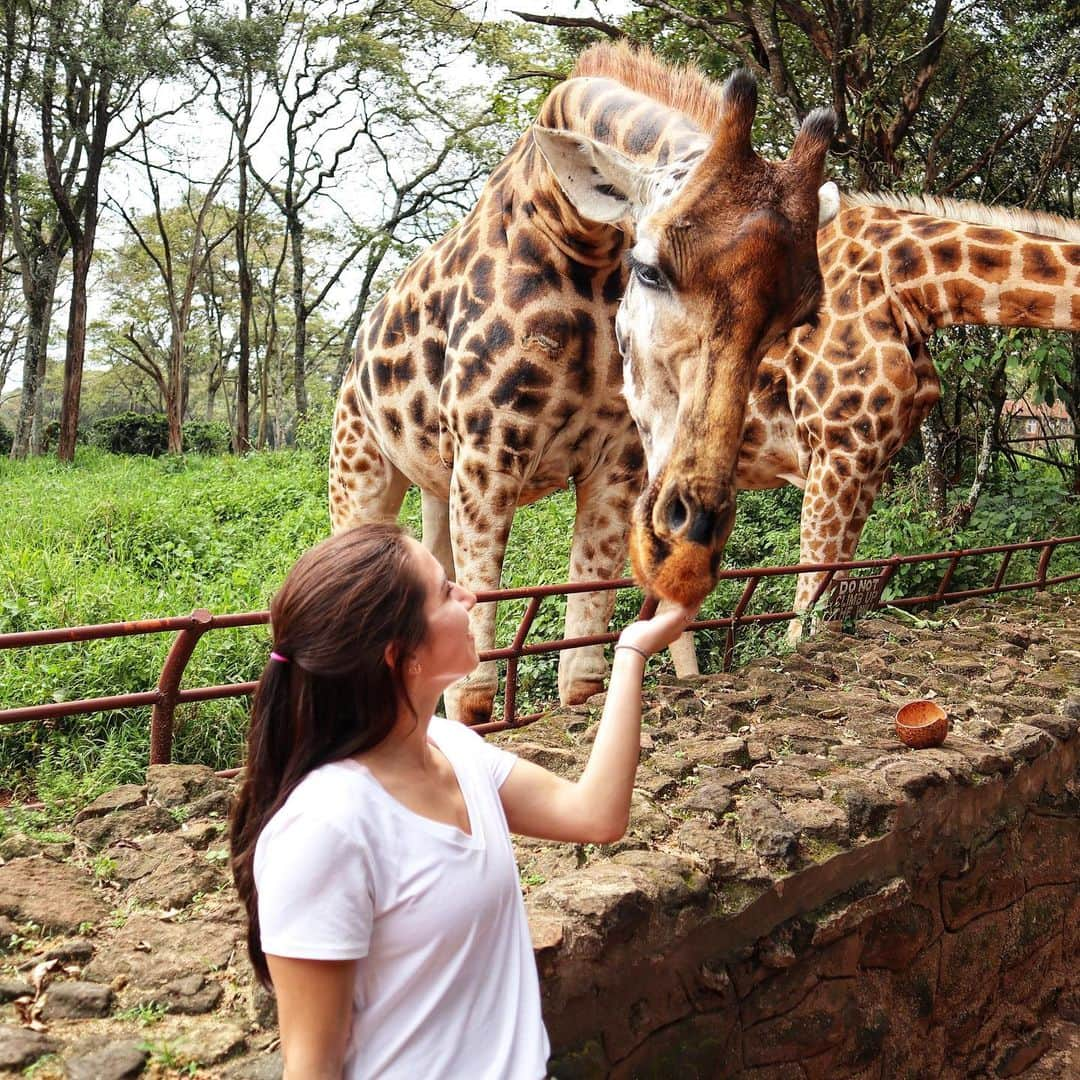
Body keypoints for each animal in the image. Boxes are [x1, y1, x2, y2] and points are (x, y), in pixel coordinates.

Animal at [328, 42, 833, 721]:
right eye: (649, 270)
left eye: (798, 320)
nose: (688, 550)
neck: (578, 239)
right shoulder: (489, 452)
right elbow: (473, 690)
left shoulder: (616, 461)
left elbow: (582, 673)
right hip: (359, 467)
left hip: (435, 481)